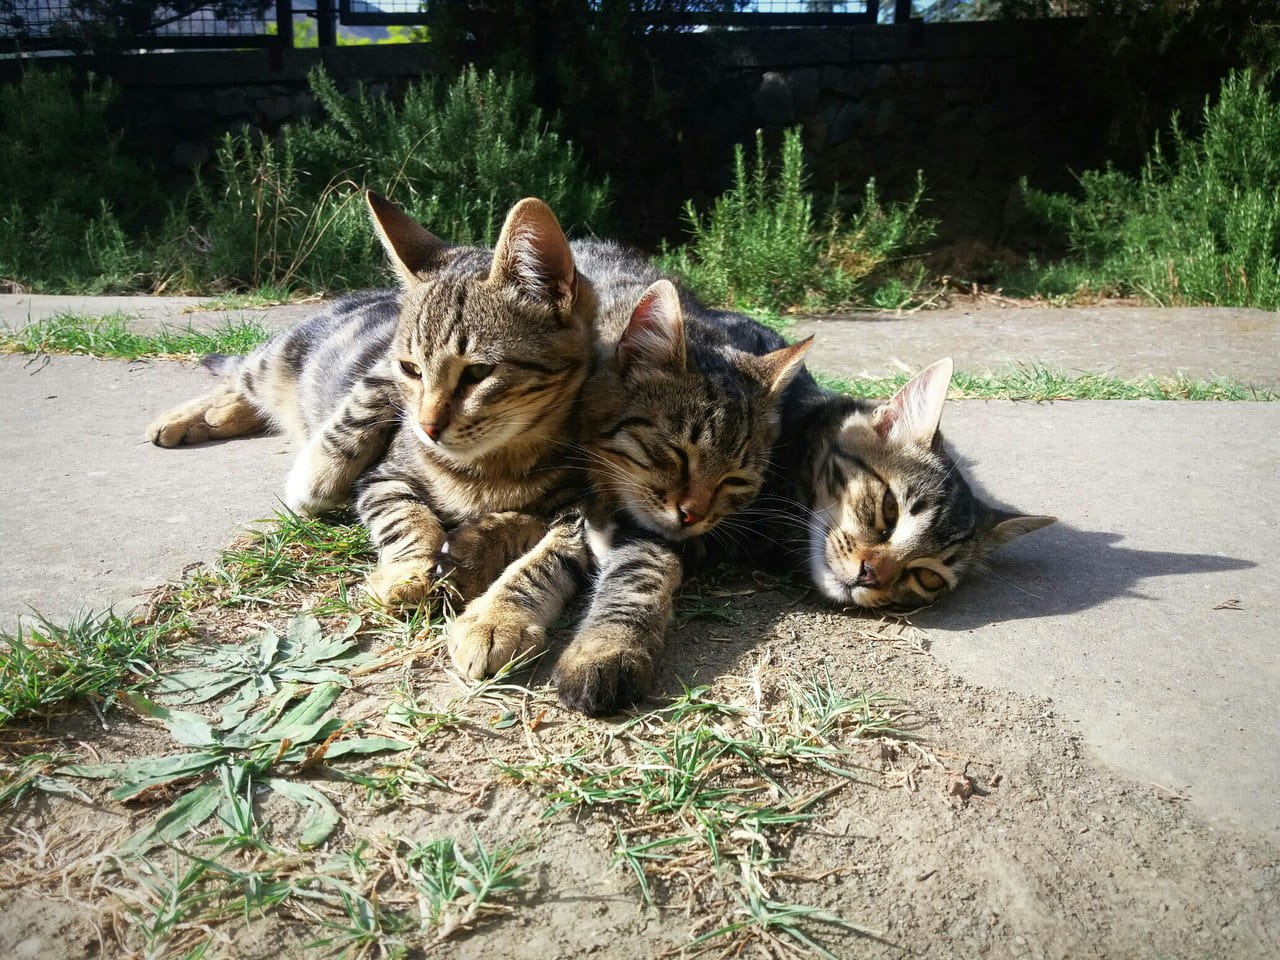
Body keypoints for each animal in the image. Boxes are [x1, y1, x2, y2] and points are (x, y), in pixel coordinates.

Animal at [148, 192, 597, 605]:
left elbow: (530, 527)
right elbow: (407, 518)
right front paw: (409, 571)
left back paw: (221, 416)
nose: (428, 427)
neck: (489, 468)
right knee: (237, 376)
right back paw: (183, 418)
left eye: (478, 373)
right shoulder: (380, 479)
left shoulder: (575, 503)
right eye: (411, 369)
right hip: (274, 361)